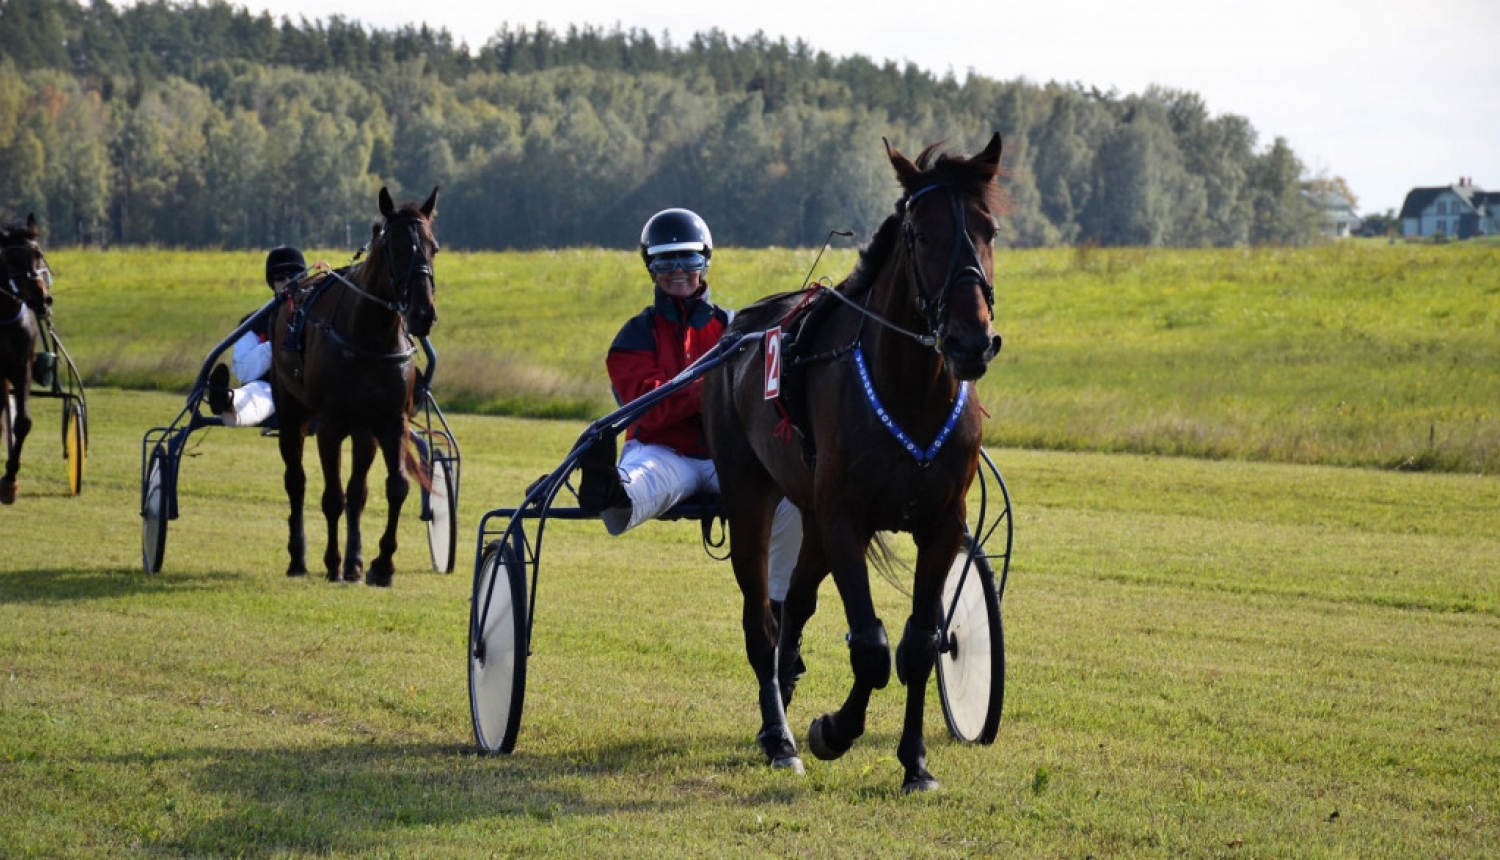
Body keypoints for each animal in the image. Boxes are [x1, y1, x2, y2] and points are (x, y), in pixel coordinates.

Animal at [270, 186, 438, 582]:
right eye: (395, 247)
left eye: (433, 247)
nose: (423, 313)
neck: (370, 336)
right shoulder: (330, 424)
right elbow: (332, 496)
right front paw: (331, 562)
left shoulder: (390, 422)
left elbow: (396, 487)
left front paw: (381, 563)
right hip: (291, 411)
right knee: (296, 480)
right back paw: (299, 559)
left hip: (364, 429)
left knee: (357, 490)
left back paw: (354, 562)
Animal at [702, 134, 1008, 792]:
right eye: (921, 233)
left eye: (989, 229)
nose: (971, 341)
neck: (910, 391)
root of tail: (738, 330)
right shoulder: (846, 518)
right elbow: (870, 647)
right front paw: (832, 731)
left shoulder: (941, 524)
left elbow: (919, 644)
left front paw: (916, 763)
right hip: (749, 495)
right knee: (760, 621)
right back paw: (779, 735)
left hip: (811, 516)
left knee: (794, 604)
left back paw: (786, 685)